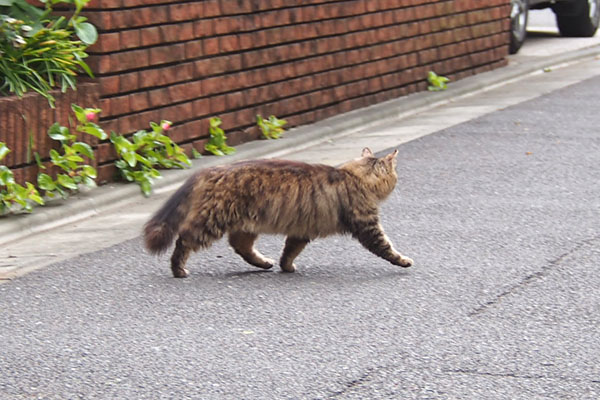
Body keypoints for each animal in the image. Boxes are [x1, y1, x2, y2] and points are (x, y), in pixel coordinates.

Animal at [145, 148, 412, 278]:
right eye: (394, 177)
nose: (399, 182)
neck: (354, 176)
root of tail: (213, 169)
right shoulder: (367, 225)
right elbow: (386, 248)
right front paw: (404, 261)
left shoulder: (302, 230)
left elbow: (289, 252)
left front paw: (286, 267)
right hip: (212, 222)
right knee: (183, 240)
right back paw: (178, 271)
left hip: (245, 224)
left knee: (240, 246)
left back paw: (264, 263)